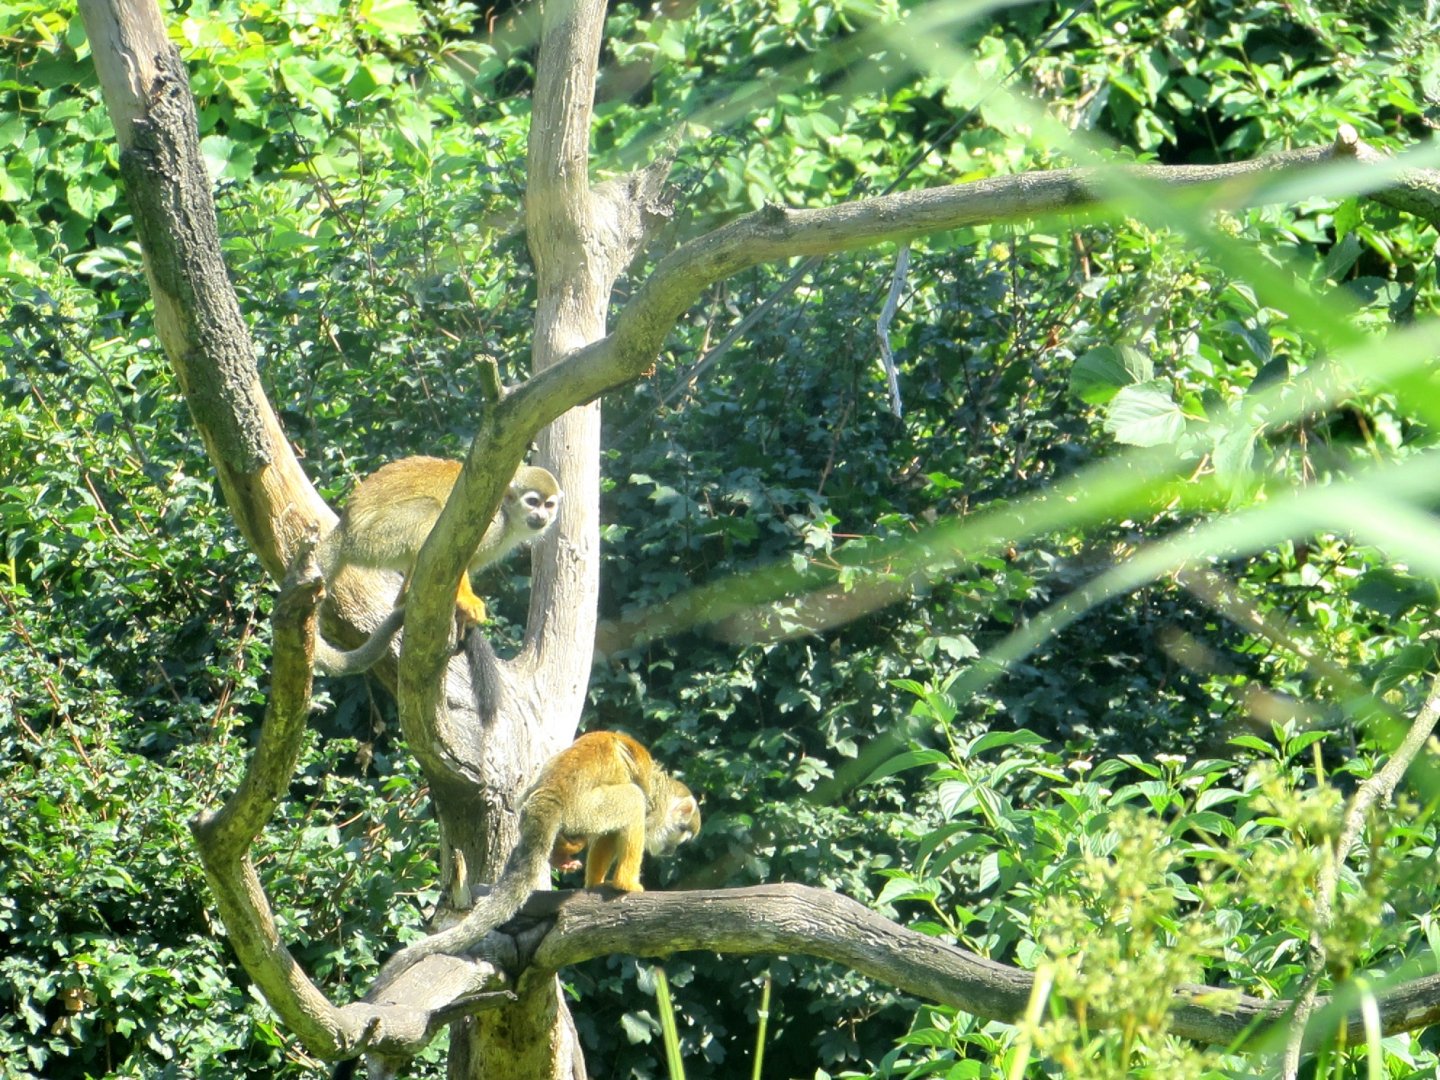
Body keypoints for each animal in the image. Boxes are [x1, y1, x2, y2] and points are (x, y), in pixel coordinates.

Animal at [311, 457, 561, 675]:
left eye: (548, 505)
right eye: (532, 502)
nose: (542, 516)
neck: (509, 518)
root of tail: (344, 529)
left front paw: (461, 614)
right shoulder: (494, 523)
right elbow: (458, 555)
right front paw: (467, 602)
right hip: (374, 535)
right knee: (430, 509)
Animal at [370, 731, 700, 990]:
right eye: (680, 835)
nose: (671, 851)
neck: (659, 791)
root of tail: (551, 792)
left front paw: (594, 883)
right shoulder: (648, 804)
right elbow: (632, 815)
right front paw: (624, 884)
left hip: (530, 802)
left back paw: (562, 853)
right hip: (586, 807)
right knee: (631, 797)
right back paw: (624, 881)